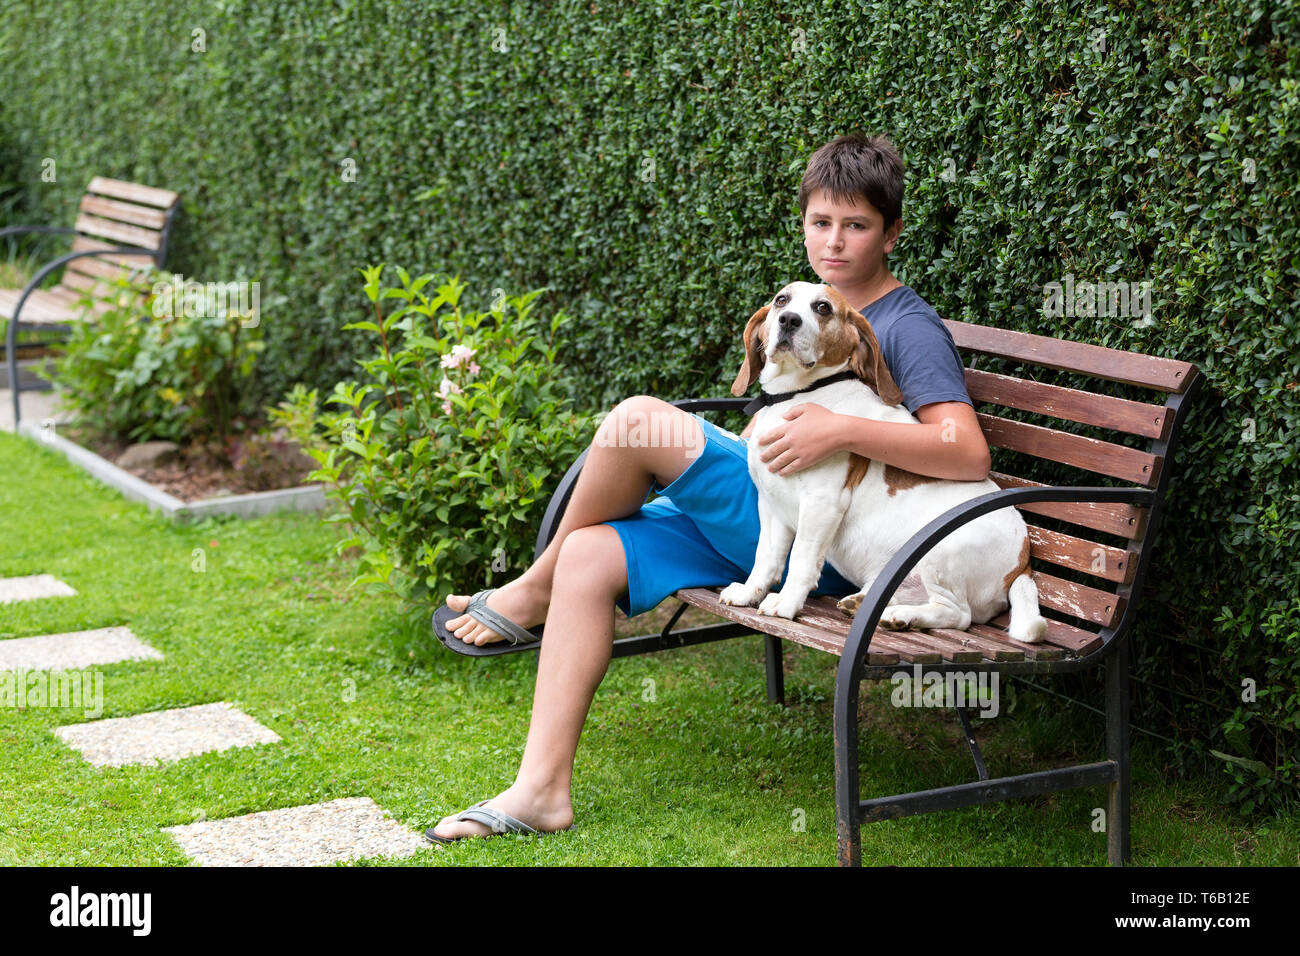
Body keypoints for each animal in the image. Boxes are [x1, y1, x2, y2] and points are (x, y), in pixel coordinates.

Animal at [717, 280, 1050, 647]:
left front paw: (786, 604)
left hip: (942, 551)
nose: (788, 320)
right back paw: (864, 602)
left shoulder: (822, 504)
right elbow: (766, 558)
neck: (801, 393)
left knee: (959, 615)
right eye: (781, 300)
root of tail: (1023, 560)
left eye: (823, 308)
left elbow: (802, 561)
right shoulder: (771, 504)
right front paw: (750, 593)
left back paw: (900, 616)